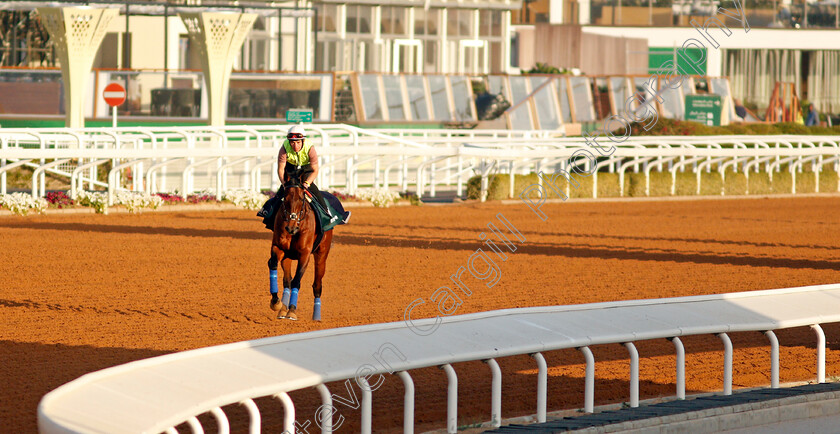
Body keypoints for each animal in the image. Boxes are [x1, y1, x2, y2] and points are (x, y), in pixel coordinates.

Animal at [270, 178, 334, 320]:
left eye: (301, 199)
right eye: (285, 198)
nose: (291, 228)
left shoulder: (305, 255)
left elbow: (296, 281)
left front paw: (292, 310)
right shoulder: (279, 248)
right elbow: (273, 264)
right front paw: (276, 302)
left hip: (322, 255)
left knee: (317, 285)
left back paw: (316, 316)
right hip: (287, 257)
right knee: (286, 281)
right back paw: (282, 309)